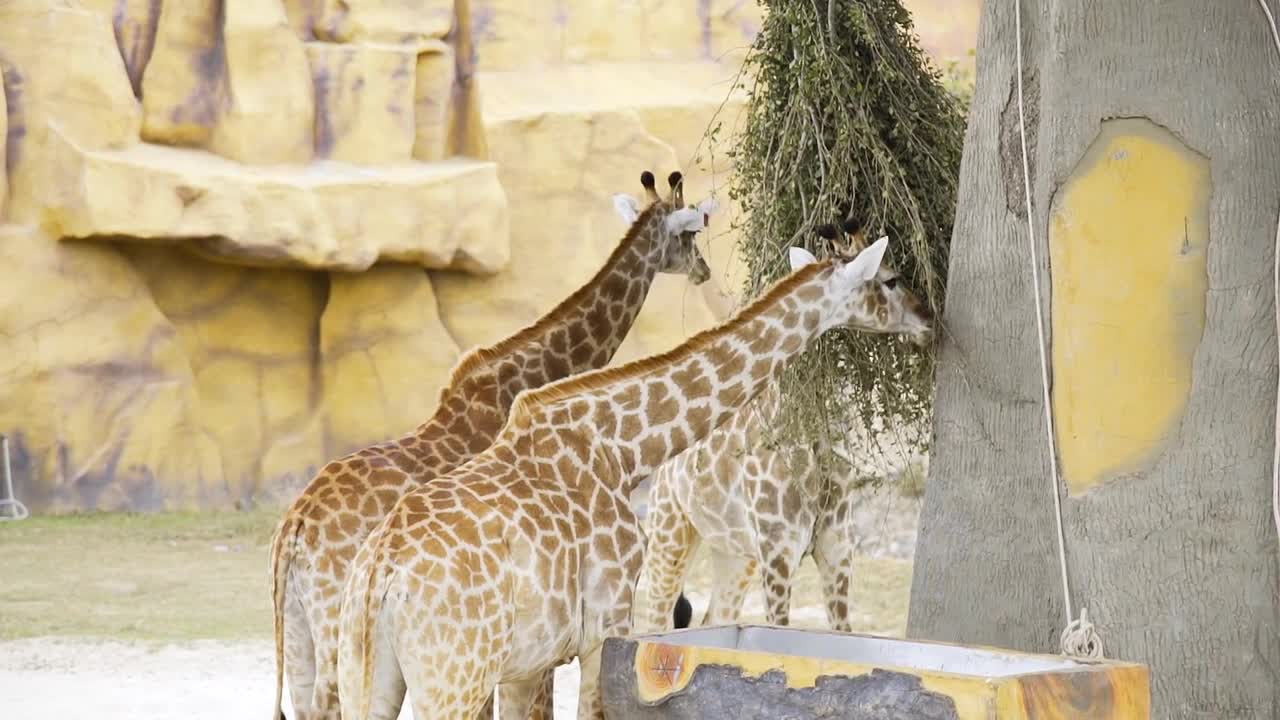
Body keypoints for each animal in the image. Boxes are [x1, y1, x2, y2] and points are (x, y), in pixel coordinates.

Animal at [637, 220, 931, 632]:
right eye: (890, 279)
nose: (929, 319)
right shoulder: (779, 551)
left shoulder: (837, 549)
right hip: (671, 532)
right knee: (654, 622)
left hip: (735, 553)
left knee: (716, 617)